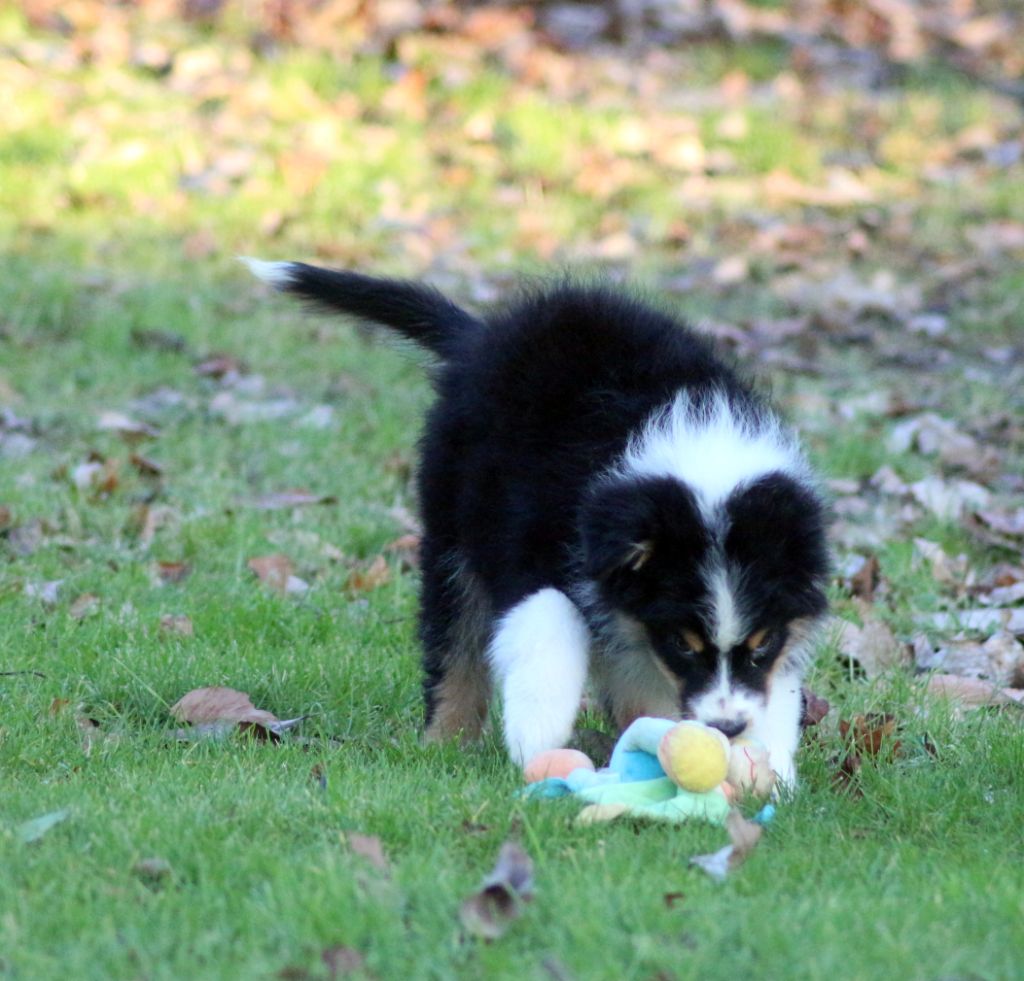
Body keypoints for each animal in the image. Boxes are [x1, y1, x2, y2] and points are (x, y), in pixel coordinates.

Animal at [247, 259, 831, 782]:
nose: (728, 729)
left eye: (762, 644)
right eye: (683, 644)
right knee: (453, 643)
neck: (691, 451)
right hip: (453, 525)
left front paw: (769, 765)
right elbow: (547, 615)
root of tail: (483, 337)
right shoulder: (532, 536)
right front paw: (538, 733)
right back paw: (445, 742)